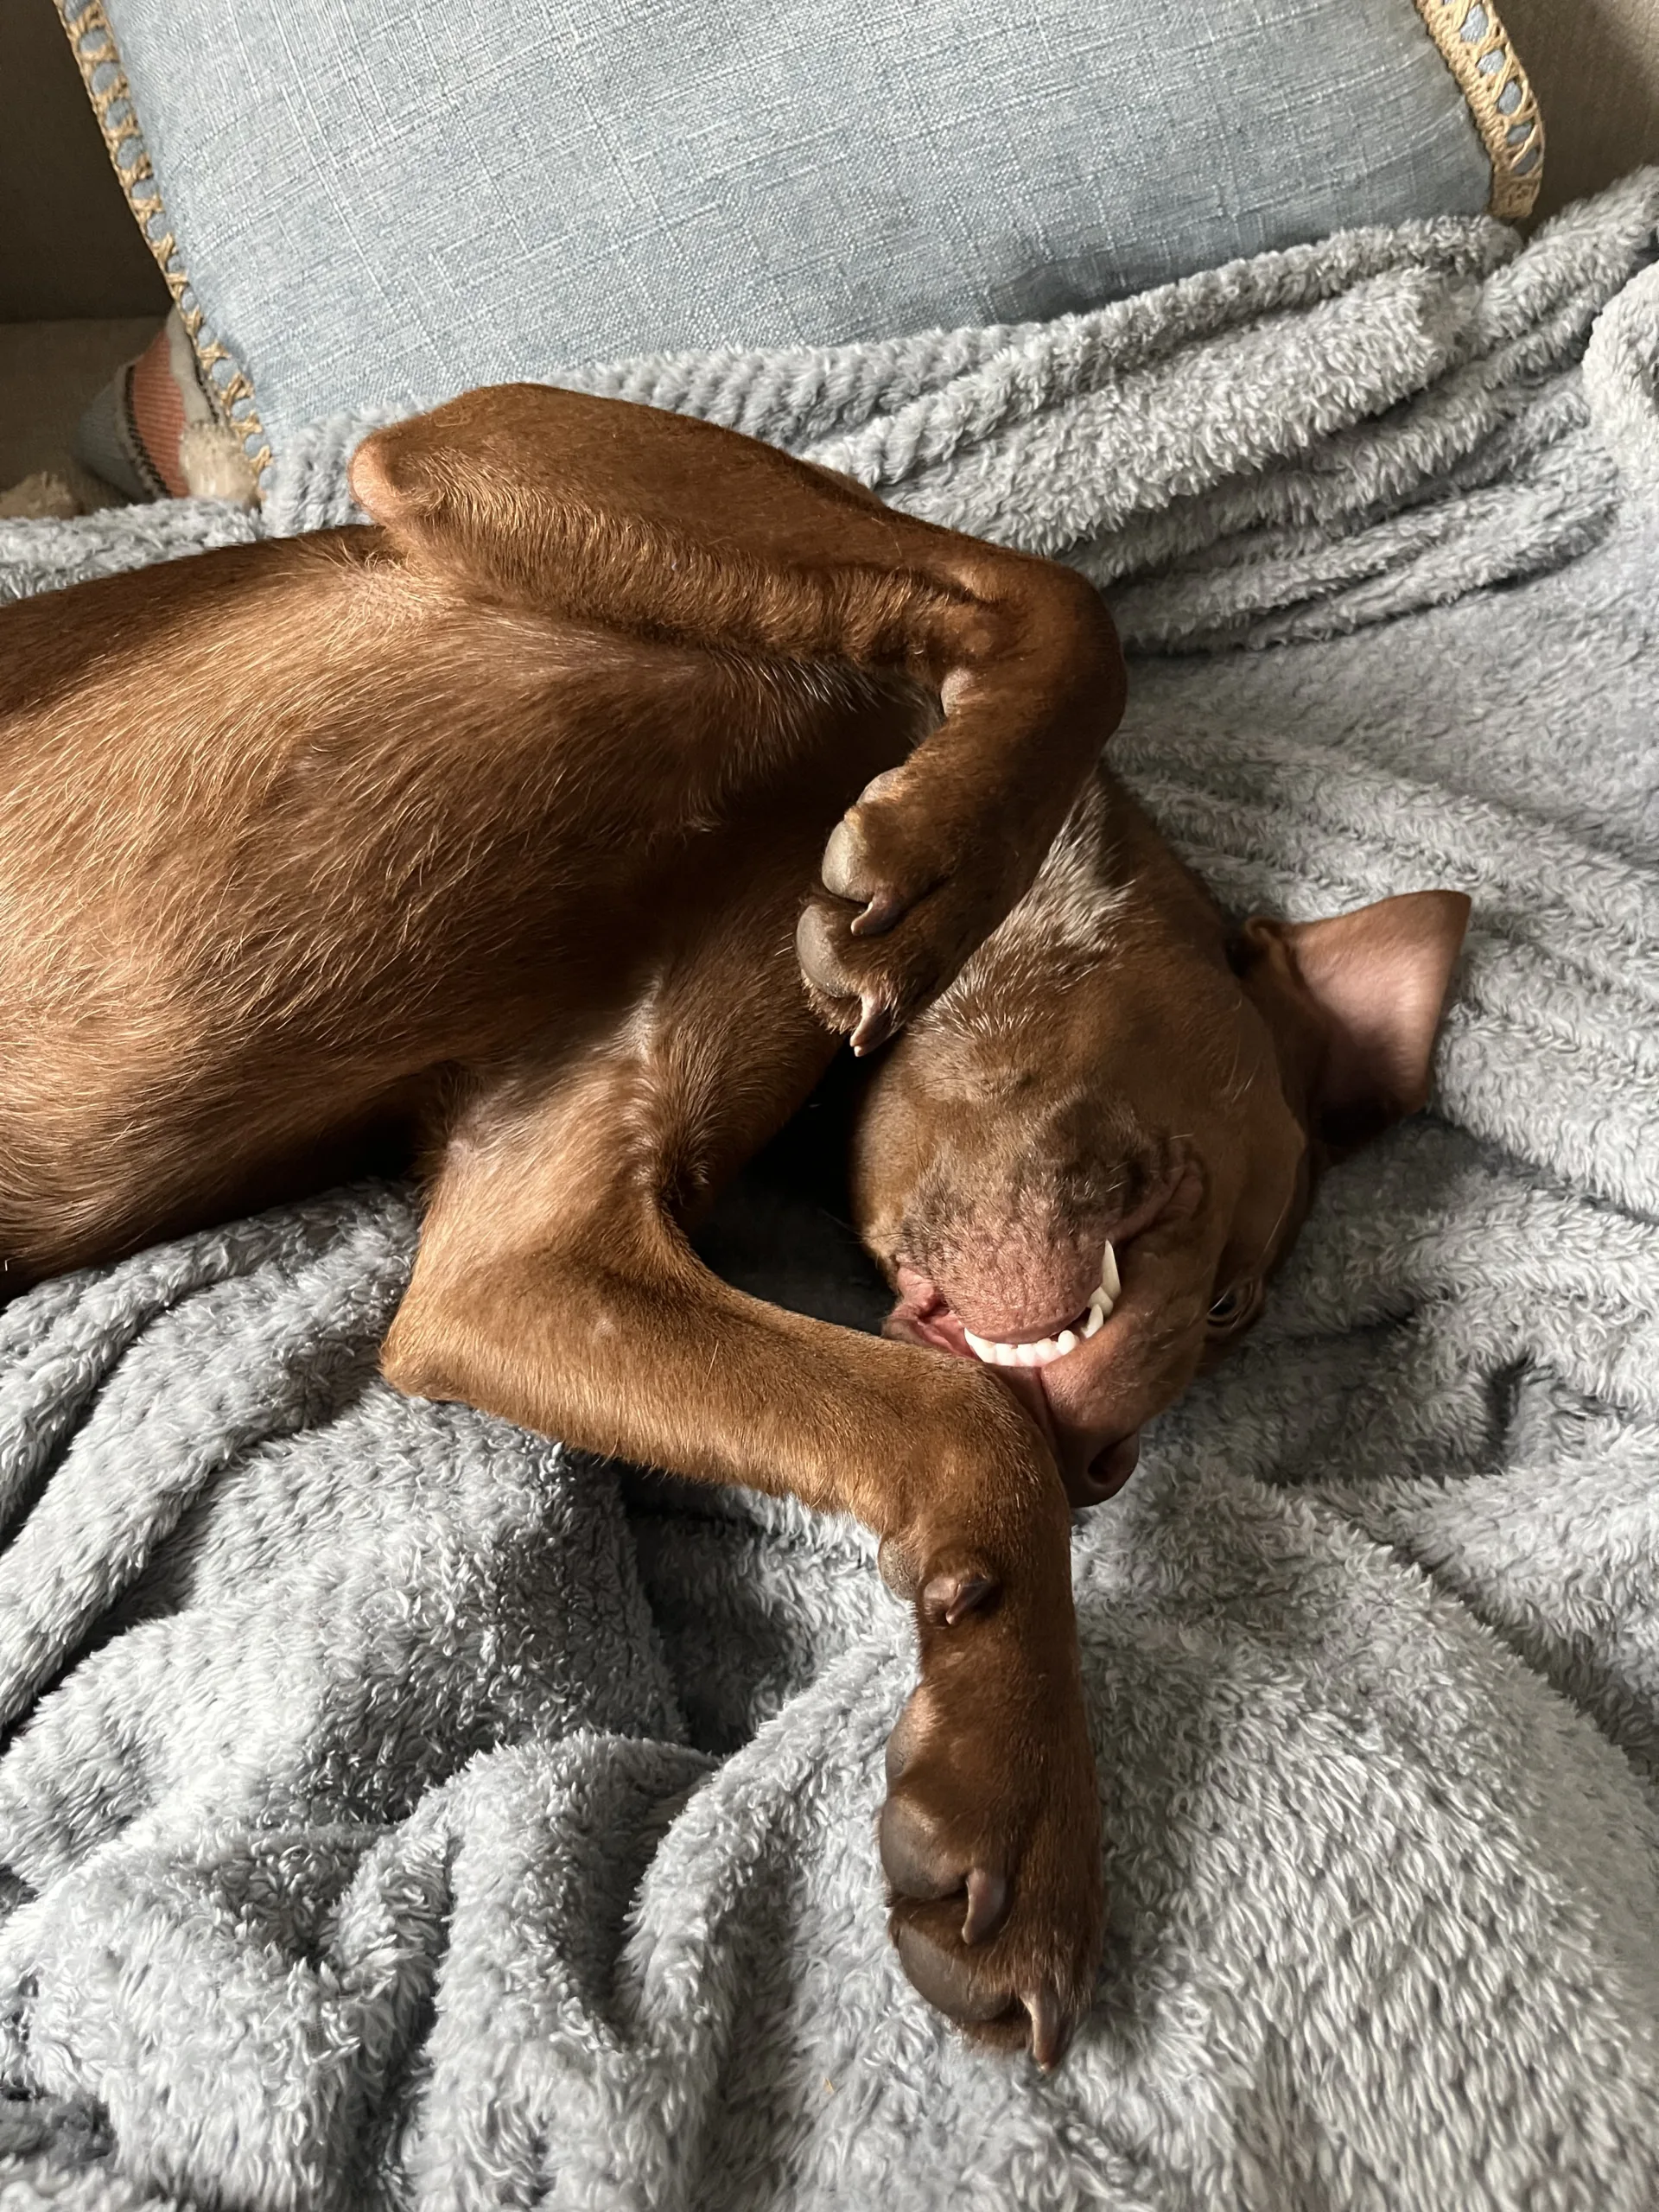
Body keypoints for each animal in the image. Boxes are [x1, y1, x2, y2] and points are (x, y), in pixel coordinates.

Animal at [0, 383, 1469, 2065]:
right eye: (1192, 1245)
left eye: (1235, 1323)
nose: (1106, 1459)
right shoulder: (480, 439)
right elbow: (1056, 598)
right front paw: (932, 864)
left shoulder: (527, 1246)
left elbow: (946, 1418)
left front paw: (1007, 1768)